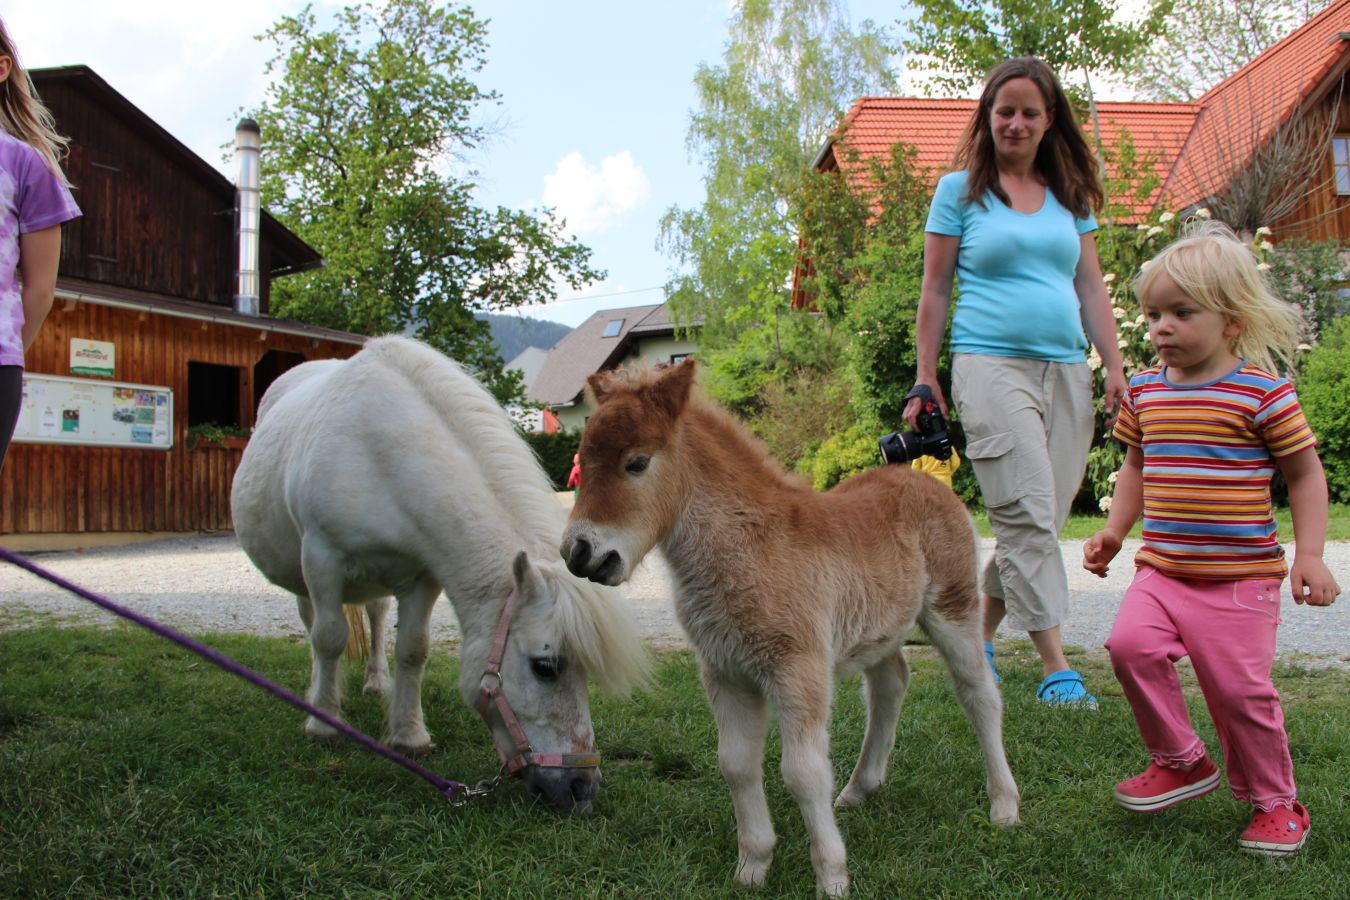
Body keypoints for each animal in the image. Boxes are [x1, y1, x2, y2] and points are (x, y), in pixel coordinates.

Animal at [231, 335, 648, 815]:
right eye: (545, 667)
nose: (582, 787)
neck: (381, 455)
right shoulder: (323, 560)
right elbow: (330, 639)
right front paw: (324, 725)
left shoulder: (422, 578)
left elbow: (413, 650)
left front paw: (409, 736)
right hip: (304, 576)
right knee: (315, 627)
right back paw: (319, 694)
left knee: (376, 617)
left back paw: (377, 683)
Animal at [560, 360, 1019, 895]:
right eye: (584, 461)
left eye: (636, 463)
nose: (580, 553)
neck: (749, 547)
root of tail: (928, 482)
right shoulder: (724, 672)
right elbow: (736, 764)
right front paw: (753, 867)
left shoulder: (798, 668)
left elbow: (803, 772)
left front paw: (832, 878)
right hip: (878, 628)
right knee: (891, 684)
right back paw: (860, 788)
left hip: (953, 607)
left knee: (979, 694)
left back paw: (1004, 805)